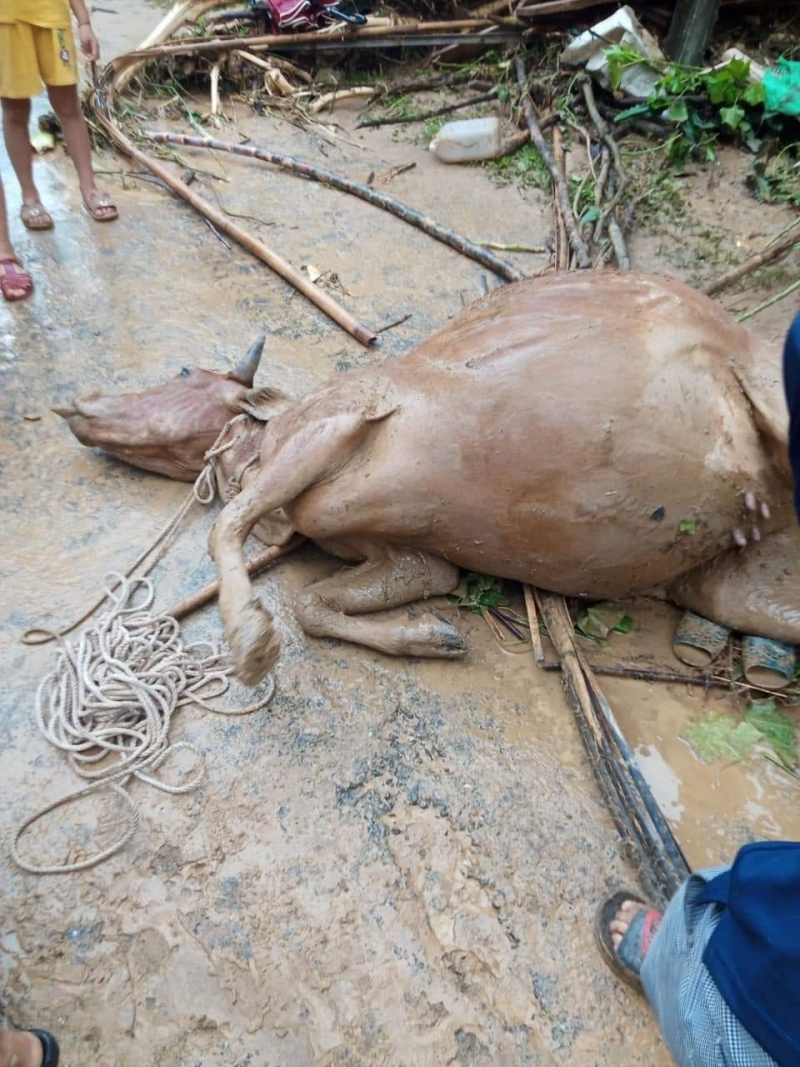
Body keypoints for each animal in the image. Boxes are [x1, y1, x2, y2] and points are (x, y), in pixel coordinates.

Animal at [57, 273, 800, 682]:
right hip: (725, 579)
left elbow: (230, 528)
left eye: (183, 372)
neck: (267, 437)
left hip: (769, 390)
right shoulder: (417, 557)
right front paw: (428, 637)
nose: (78, 405)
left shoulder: (339, 421)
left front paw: (251, 641)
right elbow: (315, 605)